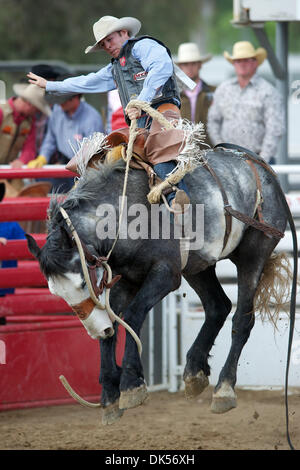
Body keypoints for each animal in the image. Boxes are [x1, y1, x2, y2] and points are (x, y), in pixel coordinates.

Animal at [26, 117, 298, 448]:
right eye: (56, 292)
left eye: (81, 283)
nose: (95, 329)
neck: (125, 213)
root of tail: (258, 164)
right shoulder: (125, 279)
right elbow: (115, 323)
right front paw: (109, 396)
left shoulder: (166, 274)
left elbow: (133, 315)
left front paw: (131, 383)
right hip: (198, 266)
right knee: (218, 306)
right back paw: (194, 371)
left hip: (252, 254)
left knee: (241, 320)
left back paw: (223, 389)